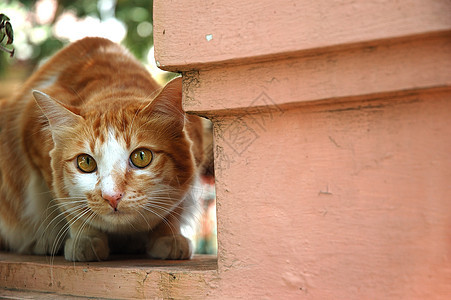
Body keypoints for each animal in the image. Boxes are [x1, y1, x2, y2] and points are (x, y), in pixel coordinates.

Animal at [0, 37, 205, 262]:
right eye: (86, 162)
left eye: (142, 157)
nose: (112, 197)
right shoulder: (33, 136)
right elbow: (68, 203)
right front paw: (85, 239)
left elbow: (176, 204)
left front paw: (168, 235)